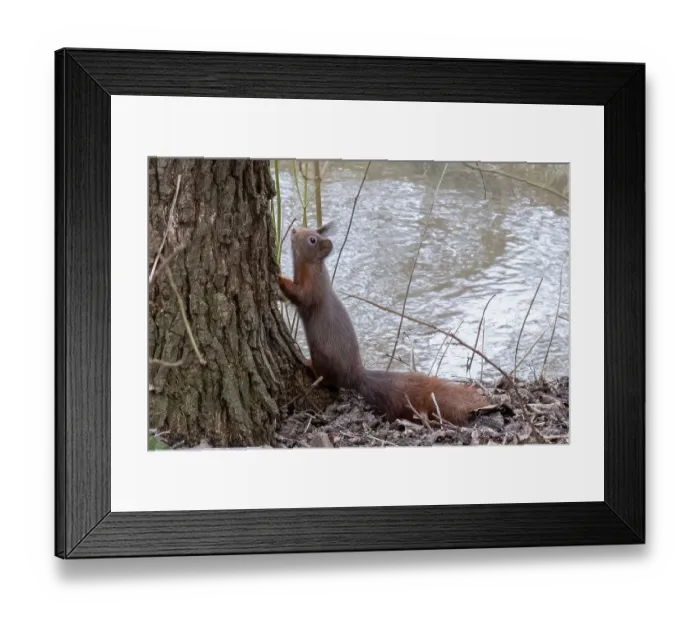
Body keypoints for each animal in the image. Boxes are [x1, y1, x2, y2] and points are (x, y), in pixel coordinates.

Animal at [278, 222, 490, 426]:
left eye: (312, 239)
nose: (294, 230)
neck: (310, 267)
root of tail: (356, 376)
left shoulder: (314, 288)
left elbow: (301, 296)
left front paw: (280, 277)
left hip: (325, 358)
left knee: (328, 379)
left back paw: (310, 364)